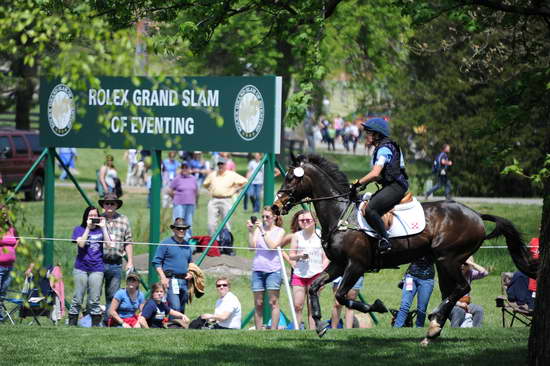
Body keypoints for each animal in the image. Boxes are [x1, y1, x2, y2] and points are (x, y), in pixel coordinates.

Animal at [272, 154, 540, 346]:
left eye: (292, 178)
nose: (275, 207)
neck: (340, 215)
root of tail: (475, 214)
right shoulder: (338, 265)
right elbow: (314, 288)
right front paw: (319, 325)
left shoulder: (356, 266)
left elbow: (341, 296)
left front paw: (377, 307)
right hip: (444, 263)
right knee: (452, 292)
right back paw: (433, 330)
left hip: (449, 258)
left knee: (463, 288)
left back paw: (433, 323)